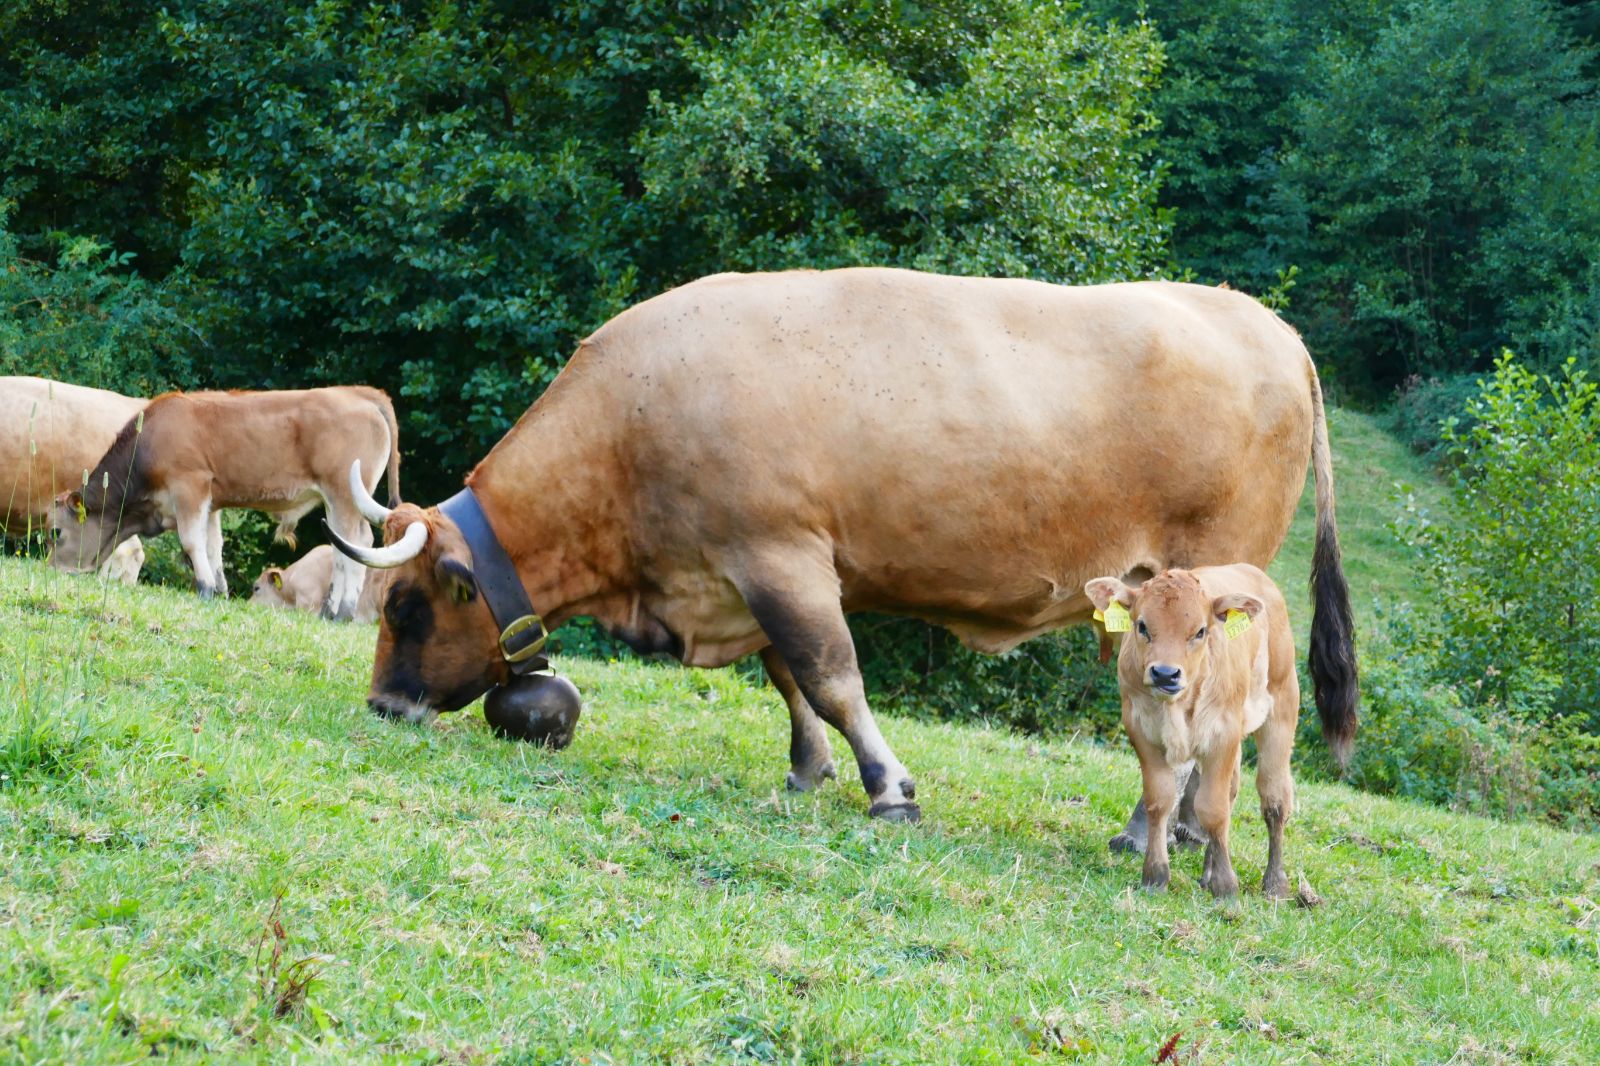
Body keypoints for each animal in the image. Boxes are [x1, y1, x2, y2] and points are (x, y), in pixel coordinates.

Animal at [331, 267, 1356, 819]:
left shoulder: (781, 556)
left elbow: (831, 675)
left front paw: (887, 784)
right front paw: (808, 771)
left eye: (408, 605)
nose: (383, 703)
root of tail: (1261, 319)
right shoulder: (748, 576)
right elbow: (790, 679)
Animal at [1081, 563, 1305, 896]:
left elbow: (1213, 809)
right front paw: (1155, 876)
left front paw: (1226, 888)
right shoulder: (1141, 732)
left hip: (1282, 708)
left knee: (1274, 798)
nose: (1165, 674)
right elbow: (1160, 800)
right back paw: (1208, 873)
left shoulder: (1223, 735)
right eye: (1142, 625)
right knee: (1232, 792)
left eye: (1200, 631)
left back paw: (1275, 883)